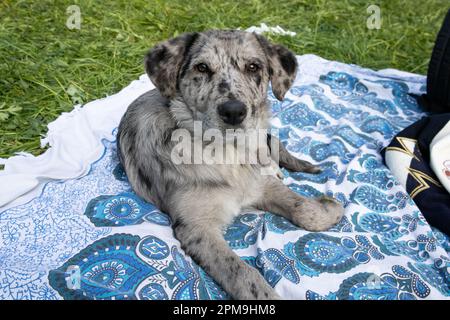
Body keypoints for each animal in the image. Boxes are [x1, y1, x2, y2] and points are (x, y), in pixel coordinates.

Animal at [117, 30, 344, 300]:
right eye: (202, 68)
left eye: (253, 66)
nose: (234, 111)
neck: (228, 154)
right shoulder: (197, 228)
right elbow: (245, 275)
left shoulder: (261, 184)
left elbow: (303, 209)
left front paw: (329, 208)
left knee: (274, 145)